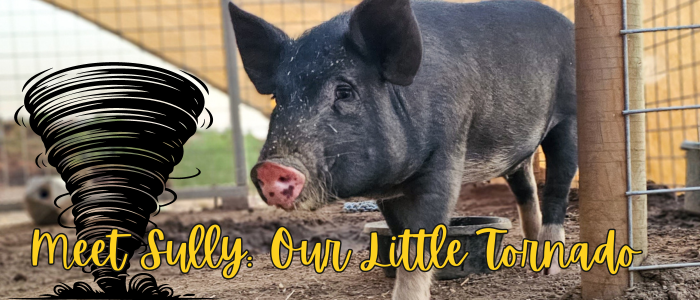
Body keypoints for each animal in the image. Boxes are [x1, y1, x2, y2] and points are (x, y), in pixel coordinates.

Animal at [232, 0, 576, 298]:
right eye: (277, 98)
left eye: (344, 92)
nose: (271, 167)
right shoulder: (388, 192)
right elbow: (400, 240)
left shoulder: (446, 154)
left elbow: (420, 242)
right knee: (525, 186)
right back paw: (531, 252)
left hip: (568, 116)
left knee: (558, 185)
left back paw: (548, 269)